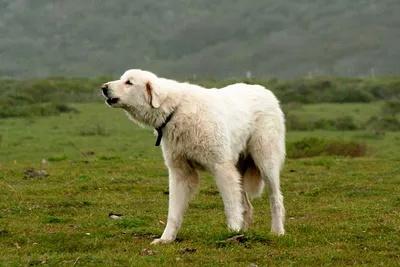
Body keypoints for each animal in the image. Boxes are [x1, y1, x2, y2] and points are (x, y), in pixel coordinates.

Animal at [101, 69, 286, 245]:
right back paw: (244, 233)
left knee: (275, 199)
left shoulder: (222, 168)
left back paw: (277, 231)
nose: (103, 87)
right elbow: (173, 212)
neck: (175, 110)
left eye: (129, 82)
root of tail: (265, 90)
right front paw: (166, 239)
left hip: (265, 163)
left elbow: (230, 206)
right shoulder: (180, 172)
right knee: (247, 206)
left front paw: (232, 230)